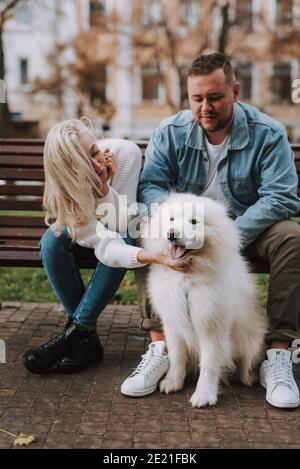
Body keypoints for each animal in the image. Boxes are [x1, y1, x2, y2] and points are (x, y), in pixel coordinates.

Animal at [141, 193, 268, 406]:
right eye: (171, 219)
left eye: (194, 221)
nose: (171, 234)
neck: (188, 279)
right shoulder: (173, 322)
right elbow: (176, 357)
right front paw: (173, 382)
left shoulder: (212, 326)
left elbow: (209, 365)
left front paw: (204, 395)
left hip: (252, 340)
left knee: (247, 363)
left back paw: (248, 377)